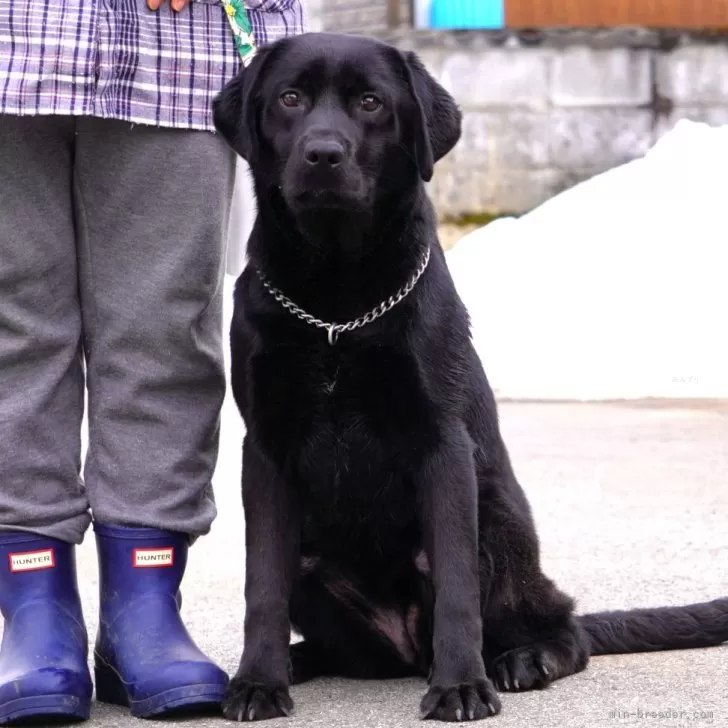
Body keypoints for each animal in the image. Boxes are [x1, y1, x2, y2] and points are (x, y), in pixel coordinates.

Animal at [212, 31, 728, 720]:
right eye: (289, 99)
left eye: (371, 102)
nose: (323, 154)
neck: (337, 306)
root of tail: (405, 647)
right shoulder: (266, 450)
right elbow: (260, 585)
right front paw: (258, 682)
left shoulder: (444, 443)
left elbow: (456, 583)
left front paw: (460, 686)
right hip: (316, 563)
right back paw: (299, 661)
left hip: (498, 525)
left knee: (562, 627)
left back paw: (523, 660)